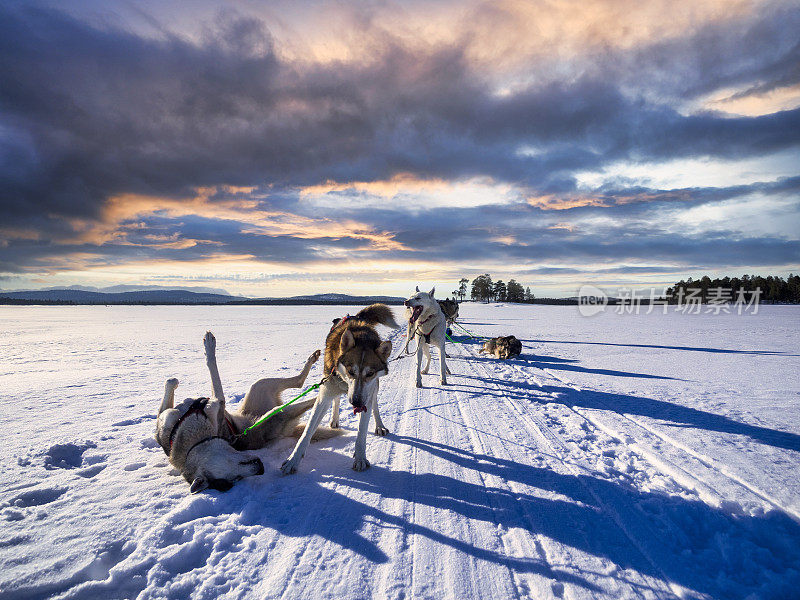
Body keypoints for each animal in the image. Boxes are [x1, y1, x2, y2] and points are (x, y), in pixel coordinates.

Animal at [282, 304, 400, 474]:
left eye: (370, 373)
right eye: (351, 371)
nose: (356, 402)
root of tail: (356, 317)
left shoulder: (366, 395)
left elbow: (362, 431)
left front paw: (360, 458)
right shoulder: (324, 395)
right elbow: (307, 431)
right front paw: (293, 460)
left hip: (373, 389)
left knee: (374, 405)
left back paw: (379, 426)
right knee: (336, 399)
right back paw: (335, 419)